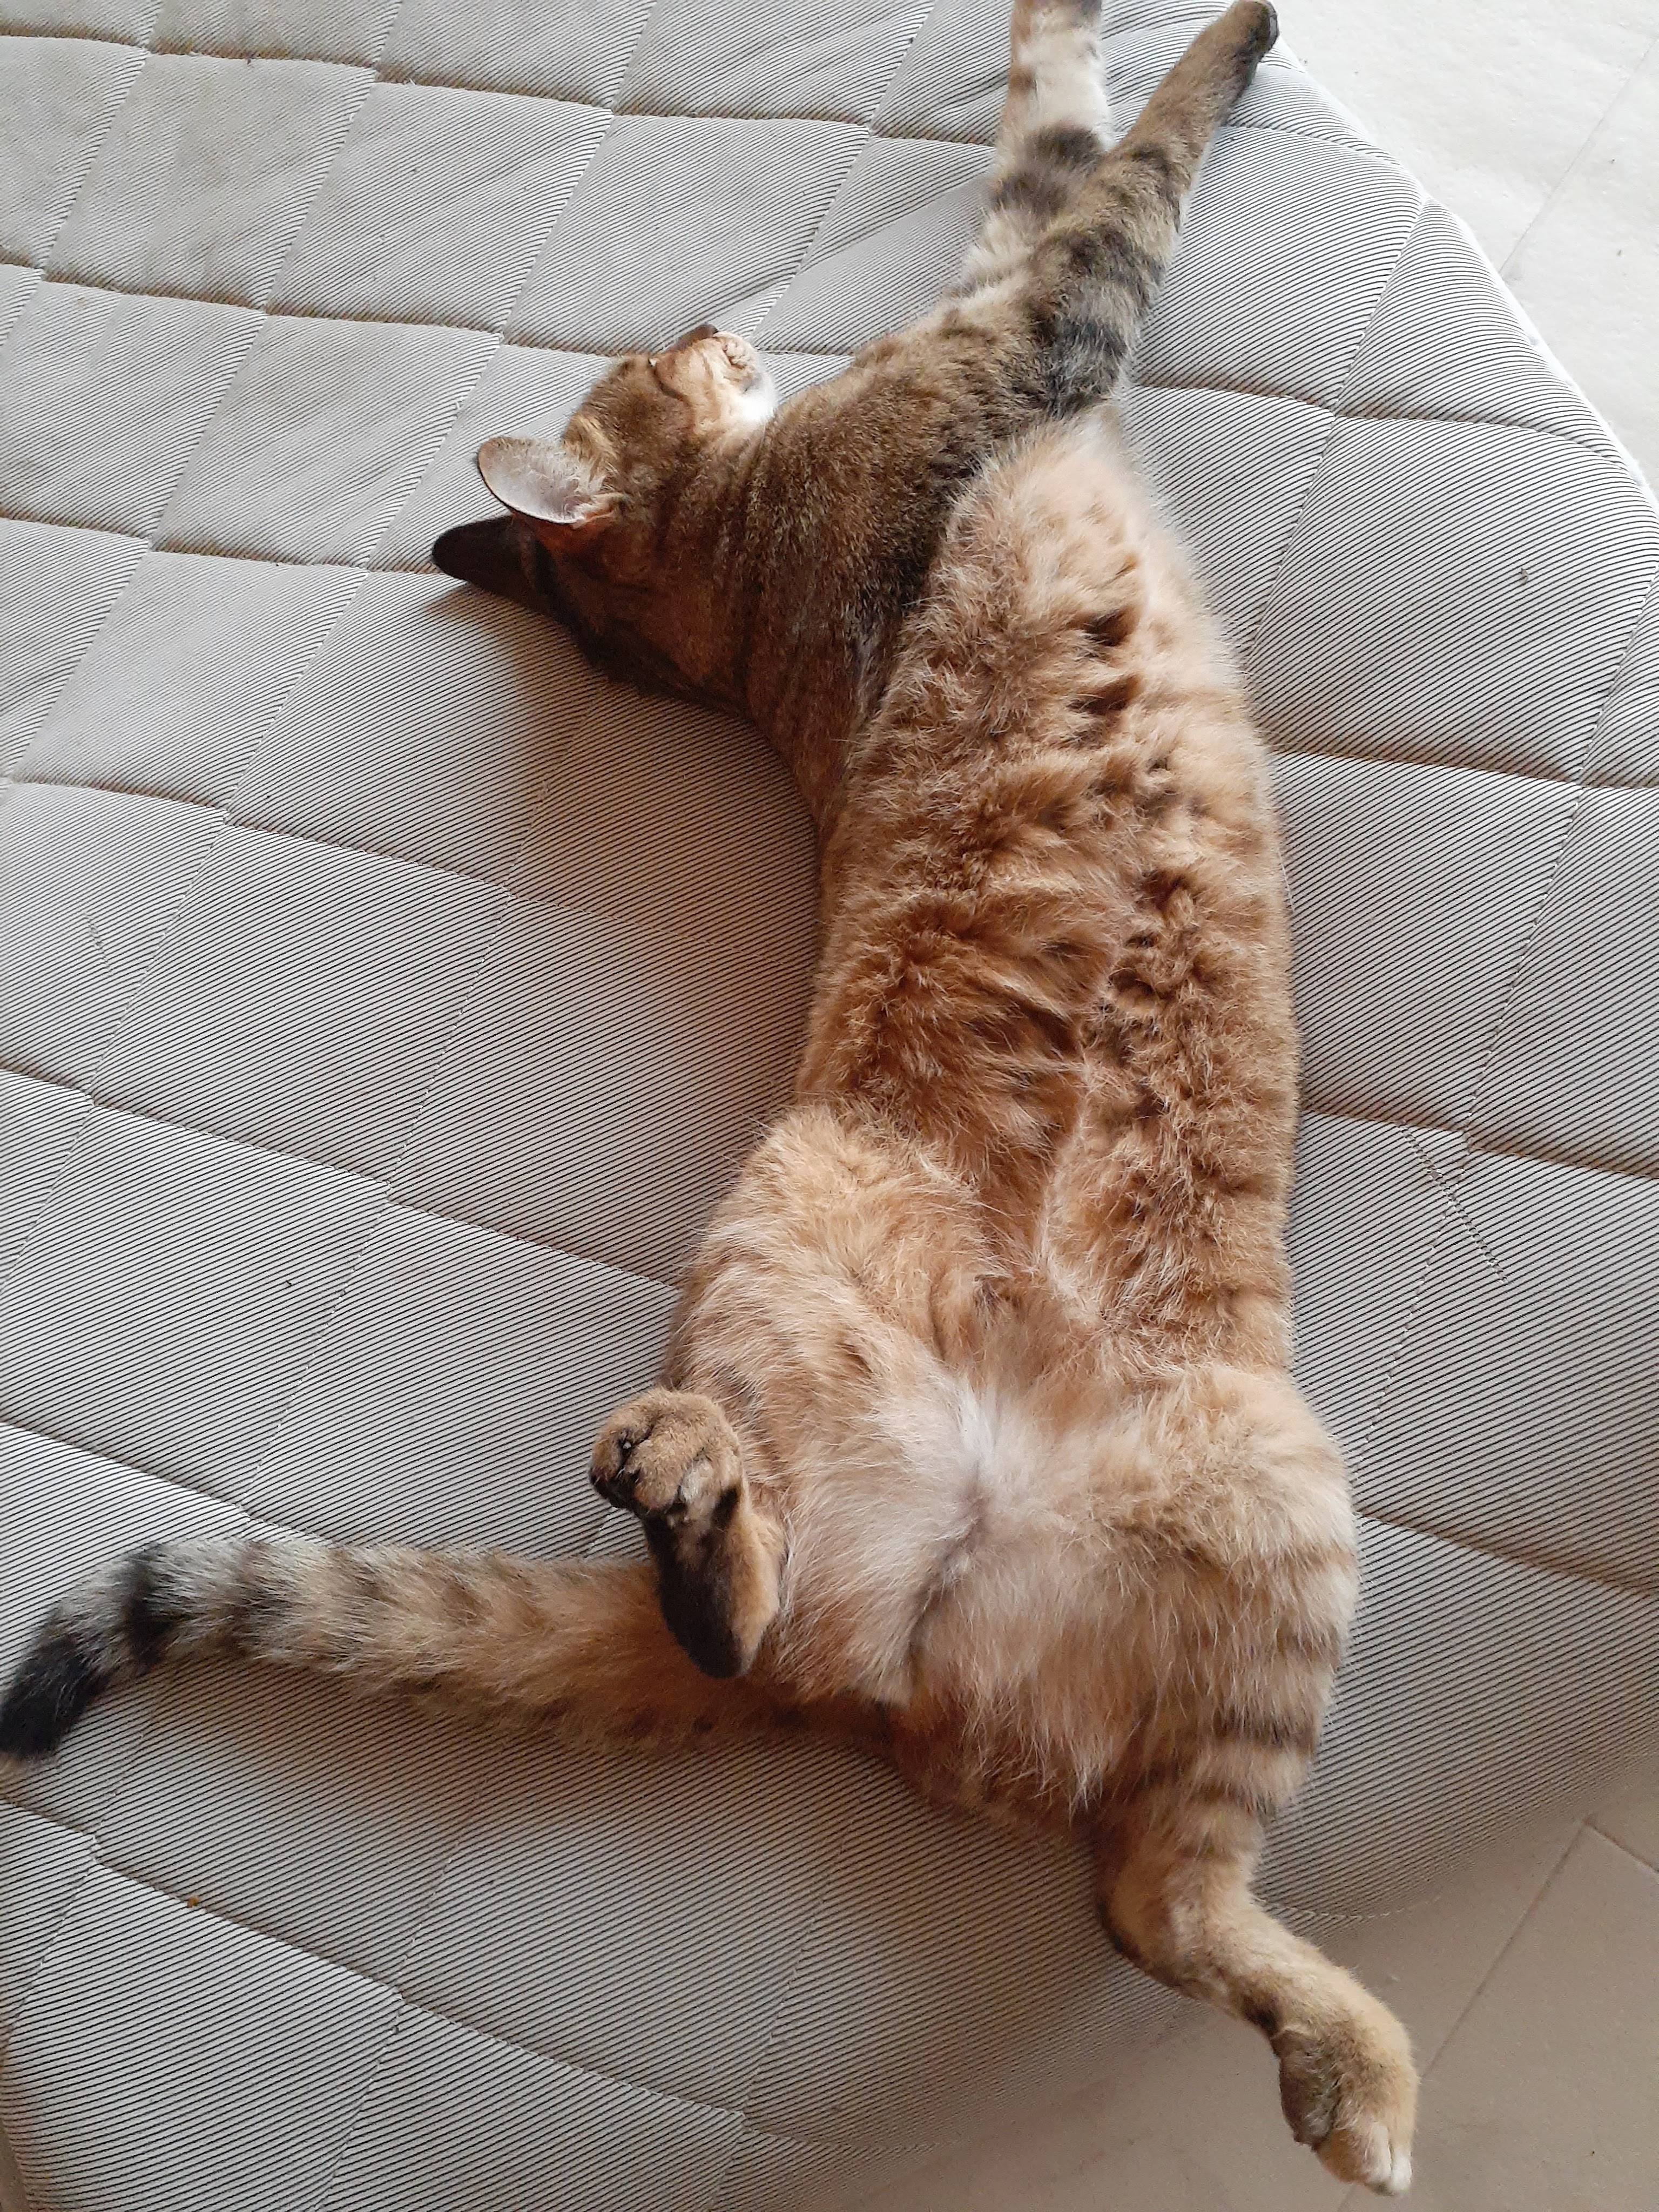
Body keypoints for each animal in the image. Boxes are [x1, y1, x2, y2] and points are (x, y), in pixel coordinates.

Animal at [0, 3, 1417, 2192]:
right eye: (662, 358)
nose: (712, 316)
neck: (730, 574)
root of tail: (895, 1691)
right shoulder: (1038, 333)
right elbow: (1121, 167)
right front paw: (1239, 35)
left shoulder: (994, 294)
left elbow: (1043, 120)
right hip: (876, 1287)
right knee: (1070, 1857)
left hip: (1270, 1521)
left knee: (1134, 1879)